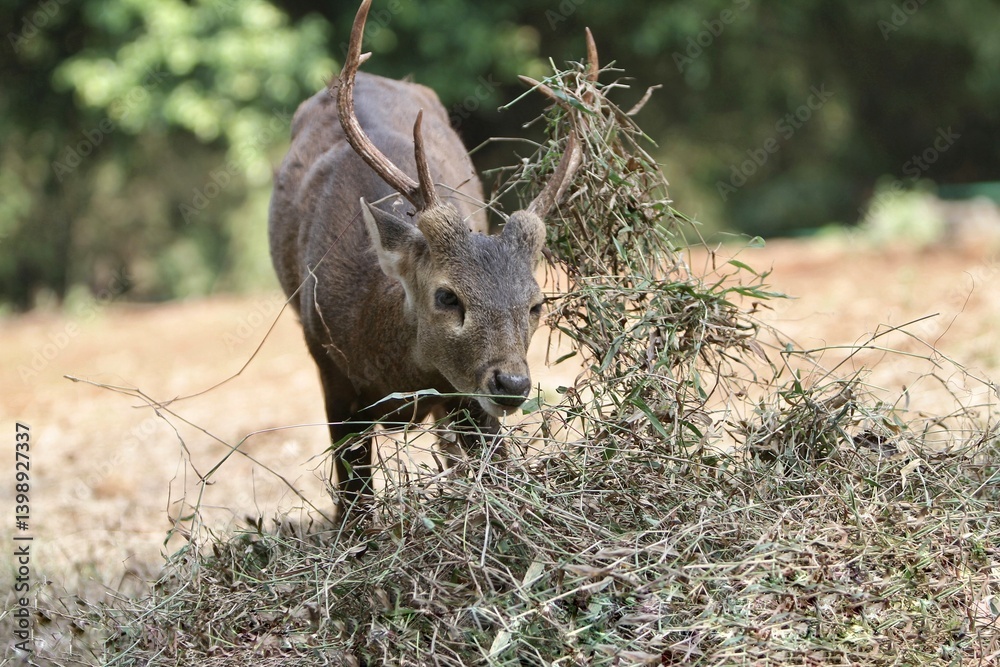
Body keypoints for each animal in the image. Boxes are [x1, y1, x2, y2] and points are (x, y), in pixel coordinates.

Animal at [268, 0, 589, 507]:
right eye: (446, 296)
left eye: (537, 304)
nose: (513, 383)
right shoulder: (327, 364)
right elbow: (355, 496)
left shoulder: (467, 396)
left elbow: (495, 470)